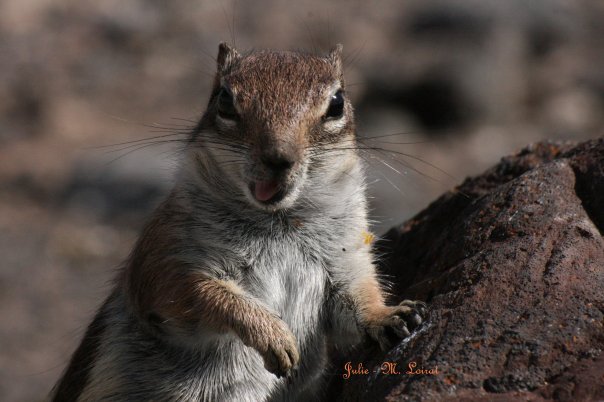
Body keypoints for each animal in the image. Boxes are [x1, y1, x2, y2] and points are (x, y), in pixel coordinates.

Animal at [49, 42, 424, 400]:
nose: (278, 158)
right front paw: (273, 335)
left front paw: (391, 315)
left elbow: (356, 299)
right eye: (225, 100)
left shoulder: (346, 257)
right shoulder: (164, 257)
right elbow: (202, 292)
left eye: (337, 103)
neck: (280, 223)